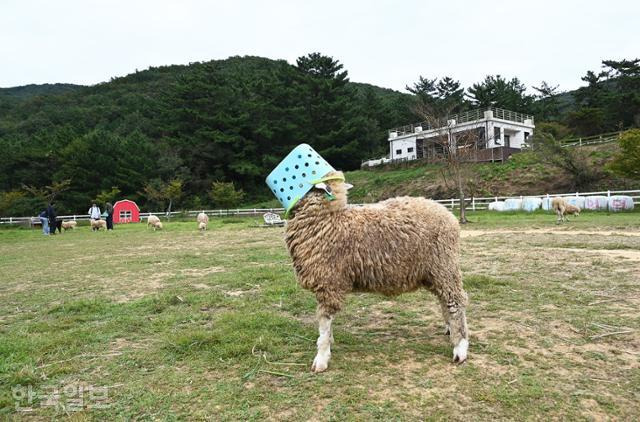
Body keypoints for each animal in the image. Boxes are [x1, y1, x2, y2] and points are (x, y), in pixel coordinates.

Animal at [286, 171, 470, 372]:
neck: (326, 220)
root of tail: (449, 215)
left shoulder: (329, 280)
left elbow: (324, 322)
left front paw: (321, 358)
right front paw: (329, 345)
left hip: (444, 265)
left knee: (456, 302)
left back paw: (460, 348)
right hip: (432, 273)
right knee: (445, 301)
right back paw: (449, 329)